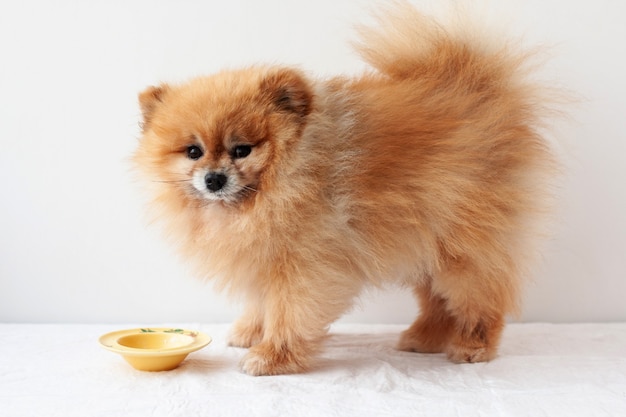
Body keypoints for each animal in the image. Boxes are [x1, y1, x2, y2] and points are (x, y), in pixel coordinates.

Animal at [134, 1, 552, 376]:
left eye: (242, 150)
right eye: (193, 151)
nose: (214, 179)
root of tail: (480, 88)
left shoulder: (305, 263)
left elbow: (288, 312)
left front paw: (271, 357)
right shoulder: (263, 257)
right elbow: (262, 303)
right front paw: (251, 331)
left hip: (462, 247)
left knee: (481, 297)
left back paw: (472, 345)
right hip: (426, 244)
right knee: (437, 299)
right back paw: (424, 337)